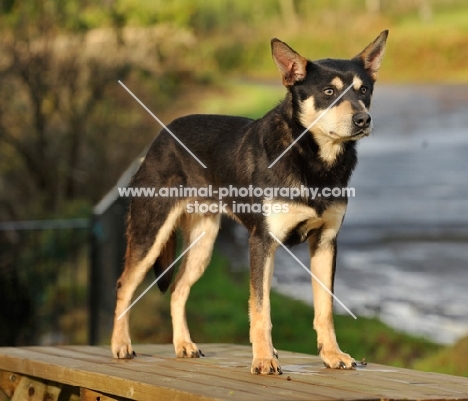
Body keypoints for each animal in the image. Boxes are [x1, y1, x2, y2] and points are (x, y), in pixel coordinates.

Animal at [112, 29, 388, 374]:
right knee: (124, 285)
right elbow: (260, 308)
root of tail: (160, 136)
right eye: (329, 92)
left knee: (177, 290)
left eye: (364, 90)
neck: (313, 159)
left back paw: (183, 345)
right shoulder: (262, 242)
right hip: (151, 233)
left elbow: (324, 308)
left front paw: (332, 355)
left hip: (202, 244)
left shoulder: (325, 242)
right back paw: (120, 345)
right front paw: (263, 359)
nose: (364, 119)